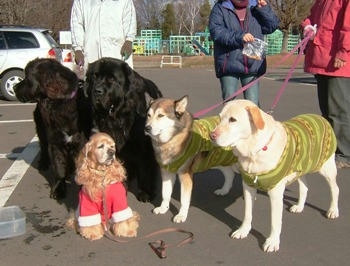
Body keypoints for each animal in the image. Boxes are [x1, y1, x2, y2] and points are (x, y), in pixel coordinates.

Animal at [14, 58, 91, 200]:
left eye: (28, 78)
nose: (14, 87)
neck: (60, 104)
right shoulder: (55, 141)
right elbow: (58, 166)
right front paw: (58, 189)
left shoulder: (81, 141)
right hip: (40, 127)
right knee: (43, 146)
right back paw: (44, 163)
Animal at [84, 56, 162, 202]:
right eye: (94, 76)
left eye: (112, 79)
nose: (96, 91)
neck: (117, 116)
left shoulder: (142, 148)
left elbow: (145, 171)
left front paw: (144, 193)